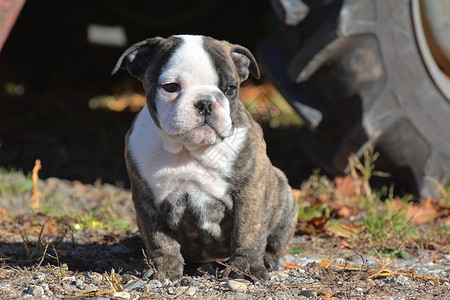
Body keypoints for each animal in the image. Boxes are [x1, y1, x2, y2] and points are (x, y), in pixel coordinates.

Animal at [111, 35, 298, 282]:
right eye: (171, 87)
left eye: (230, 89)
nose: (205, 102)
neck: (189, 149)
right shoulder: (147, 201)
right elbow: (159, 239)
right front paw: (164, 269)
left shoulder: (250, 194)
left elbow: (249, 231)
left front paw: (246, 269)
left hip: (284, 195)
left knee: (274, 243)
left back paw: (267, 260)